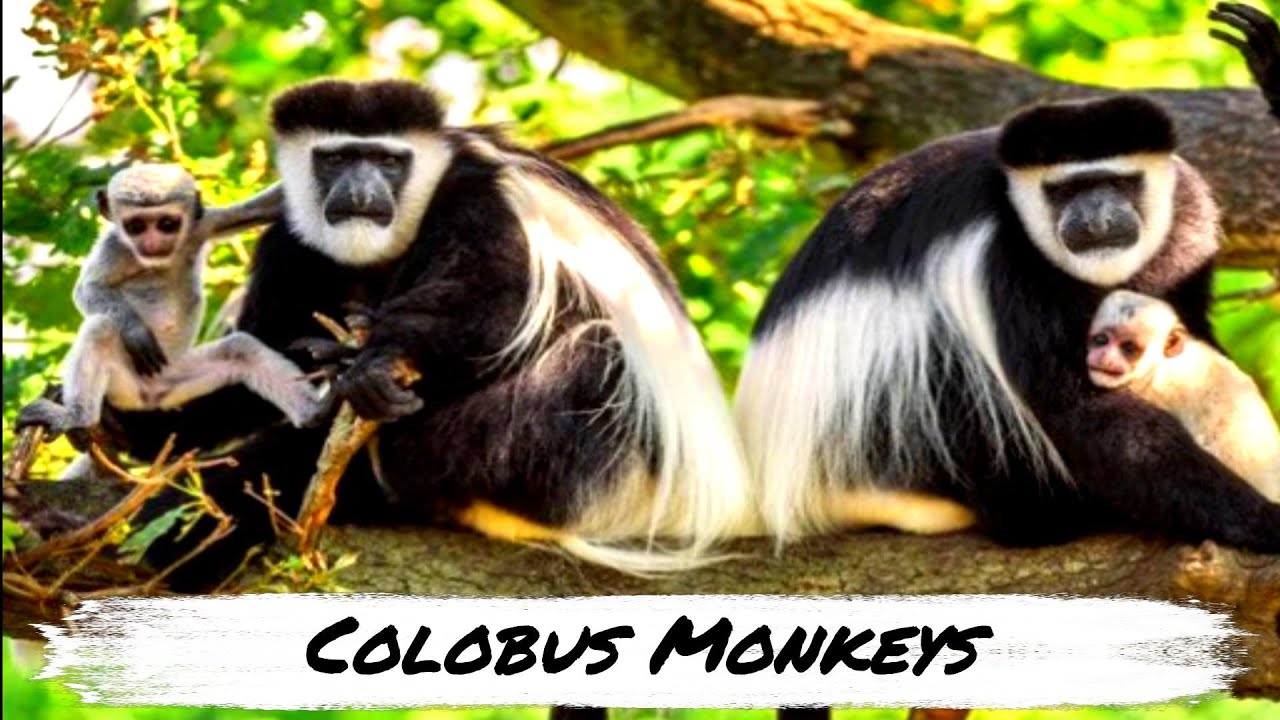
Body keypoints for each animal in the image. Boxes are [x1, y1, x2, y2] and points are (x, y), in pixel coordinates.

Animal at [16, 164, 323, 450]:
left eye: (167, 223)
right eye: (136, 226)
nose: (152, 242)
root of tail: (148, 396)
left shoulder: (202, 224)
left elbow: (266, 207)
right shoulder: (114, 247)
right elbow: (88, 289)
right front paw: (136, 331)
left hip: (175, 378)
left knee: (239, 350)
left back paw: (315, 412)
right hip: (125, 381)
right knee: (101, 328)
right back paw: (78, 417)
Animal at [94, 79, 753, 589]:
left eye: (389, 161)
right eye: (335, 159)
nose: (361, 193)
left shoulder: (481, 198)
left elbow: (497, 303)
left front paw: (374, 364)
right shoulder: (291, 241)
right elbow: (264, 354)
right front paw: (138, 420)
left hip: (598, 472)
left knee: (596, 353)